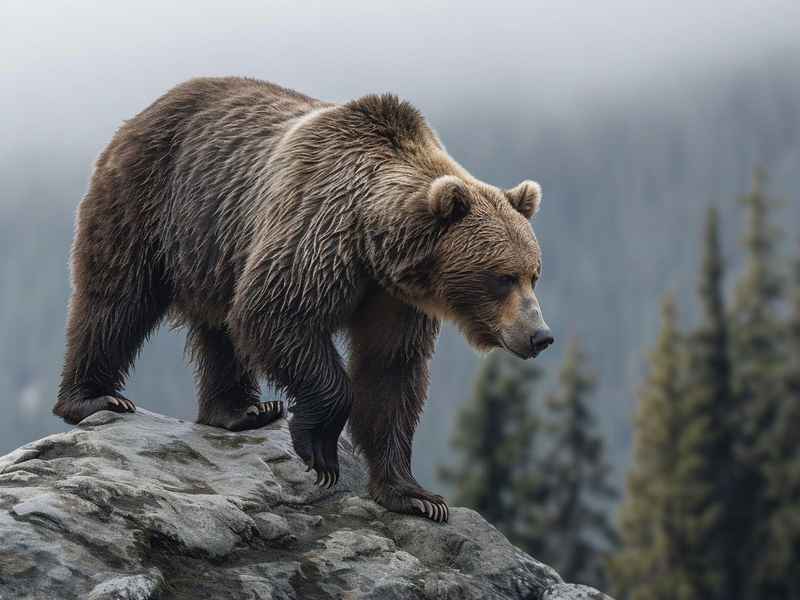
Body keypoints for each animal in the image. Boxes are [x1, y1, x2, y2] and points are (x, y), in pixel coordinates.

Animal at [54, 77, 554, 523]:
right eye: (503, 277)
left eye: (534, 273)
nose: (540, 335)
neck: (375, 245)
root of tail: (148, 108)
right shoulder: (315, 233)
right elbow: (276, 315)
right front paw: (319, 451)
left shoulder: (395, 301)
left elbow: (392, 373)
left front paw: (415, 495)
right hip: (152, 200)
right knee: (116, 298)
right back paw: (95, 398)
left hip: (217, 246)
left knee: (220, 326)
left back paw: (242, 411)